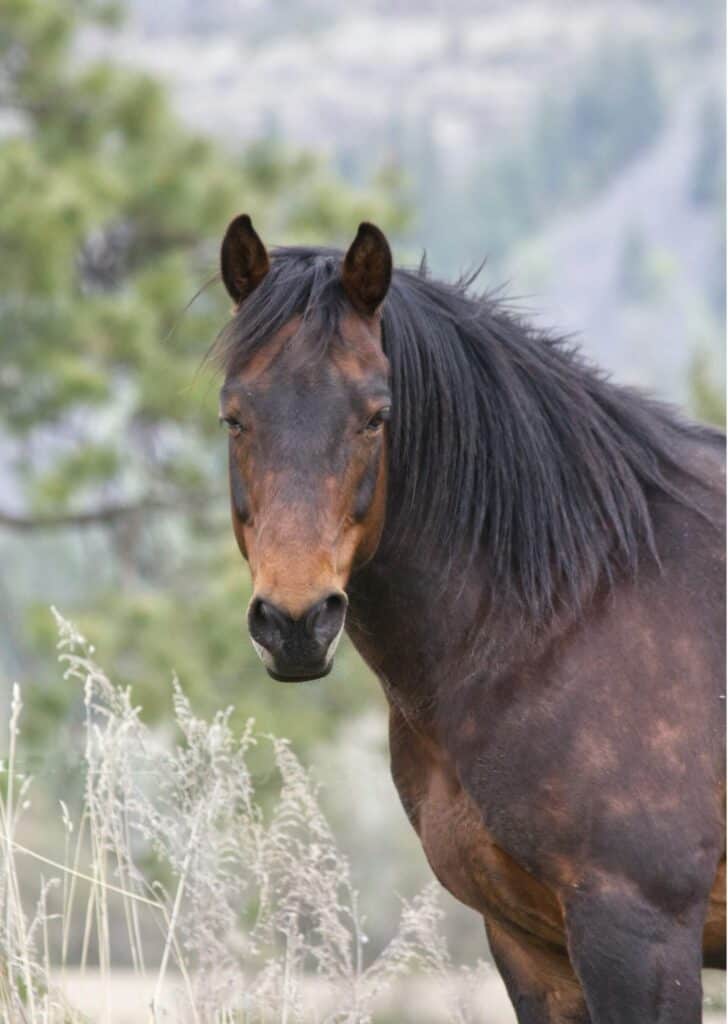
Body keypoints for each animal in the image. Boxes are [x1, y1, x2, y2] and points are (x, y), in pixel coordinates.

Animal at [212, 214, 726, 1023]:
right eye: (235, 417)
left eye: (377, 417)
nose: (295, 624)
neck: (575, 606)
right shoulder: (530, 947)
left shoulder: (641, 937)